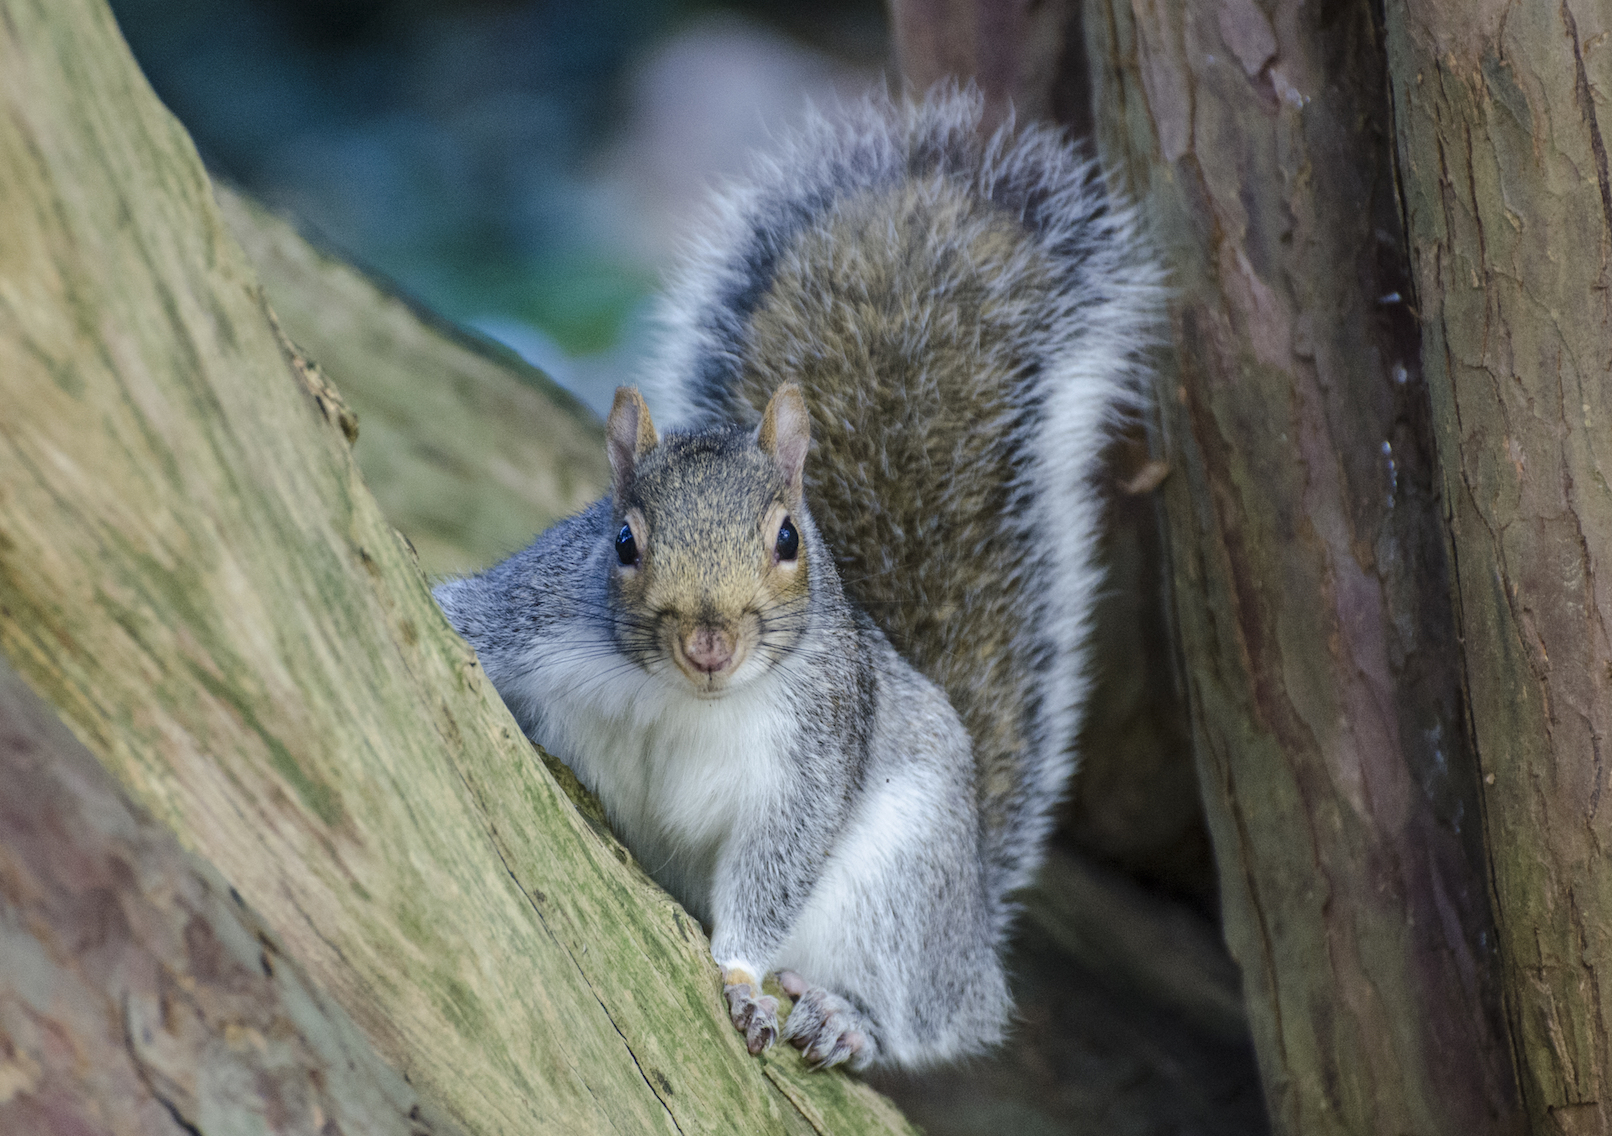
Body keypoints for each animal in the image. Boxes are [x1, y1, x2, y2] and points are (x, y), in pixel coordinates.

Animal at [433, 88, 1161, 1071]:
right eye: (622, 541)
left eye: (788, 539)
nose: (709, 643)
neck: (681, 700)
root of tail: (971, 930)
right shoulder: (530, 614)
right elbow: (459, 617)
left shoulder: (809, 764)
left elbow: (774, 872)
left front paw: (740, 978)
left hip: (903, 883)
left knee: (916, 1016)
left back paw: (845, 1016)